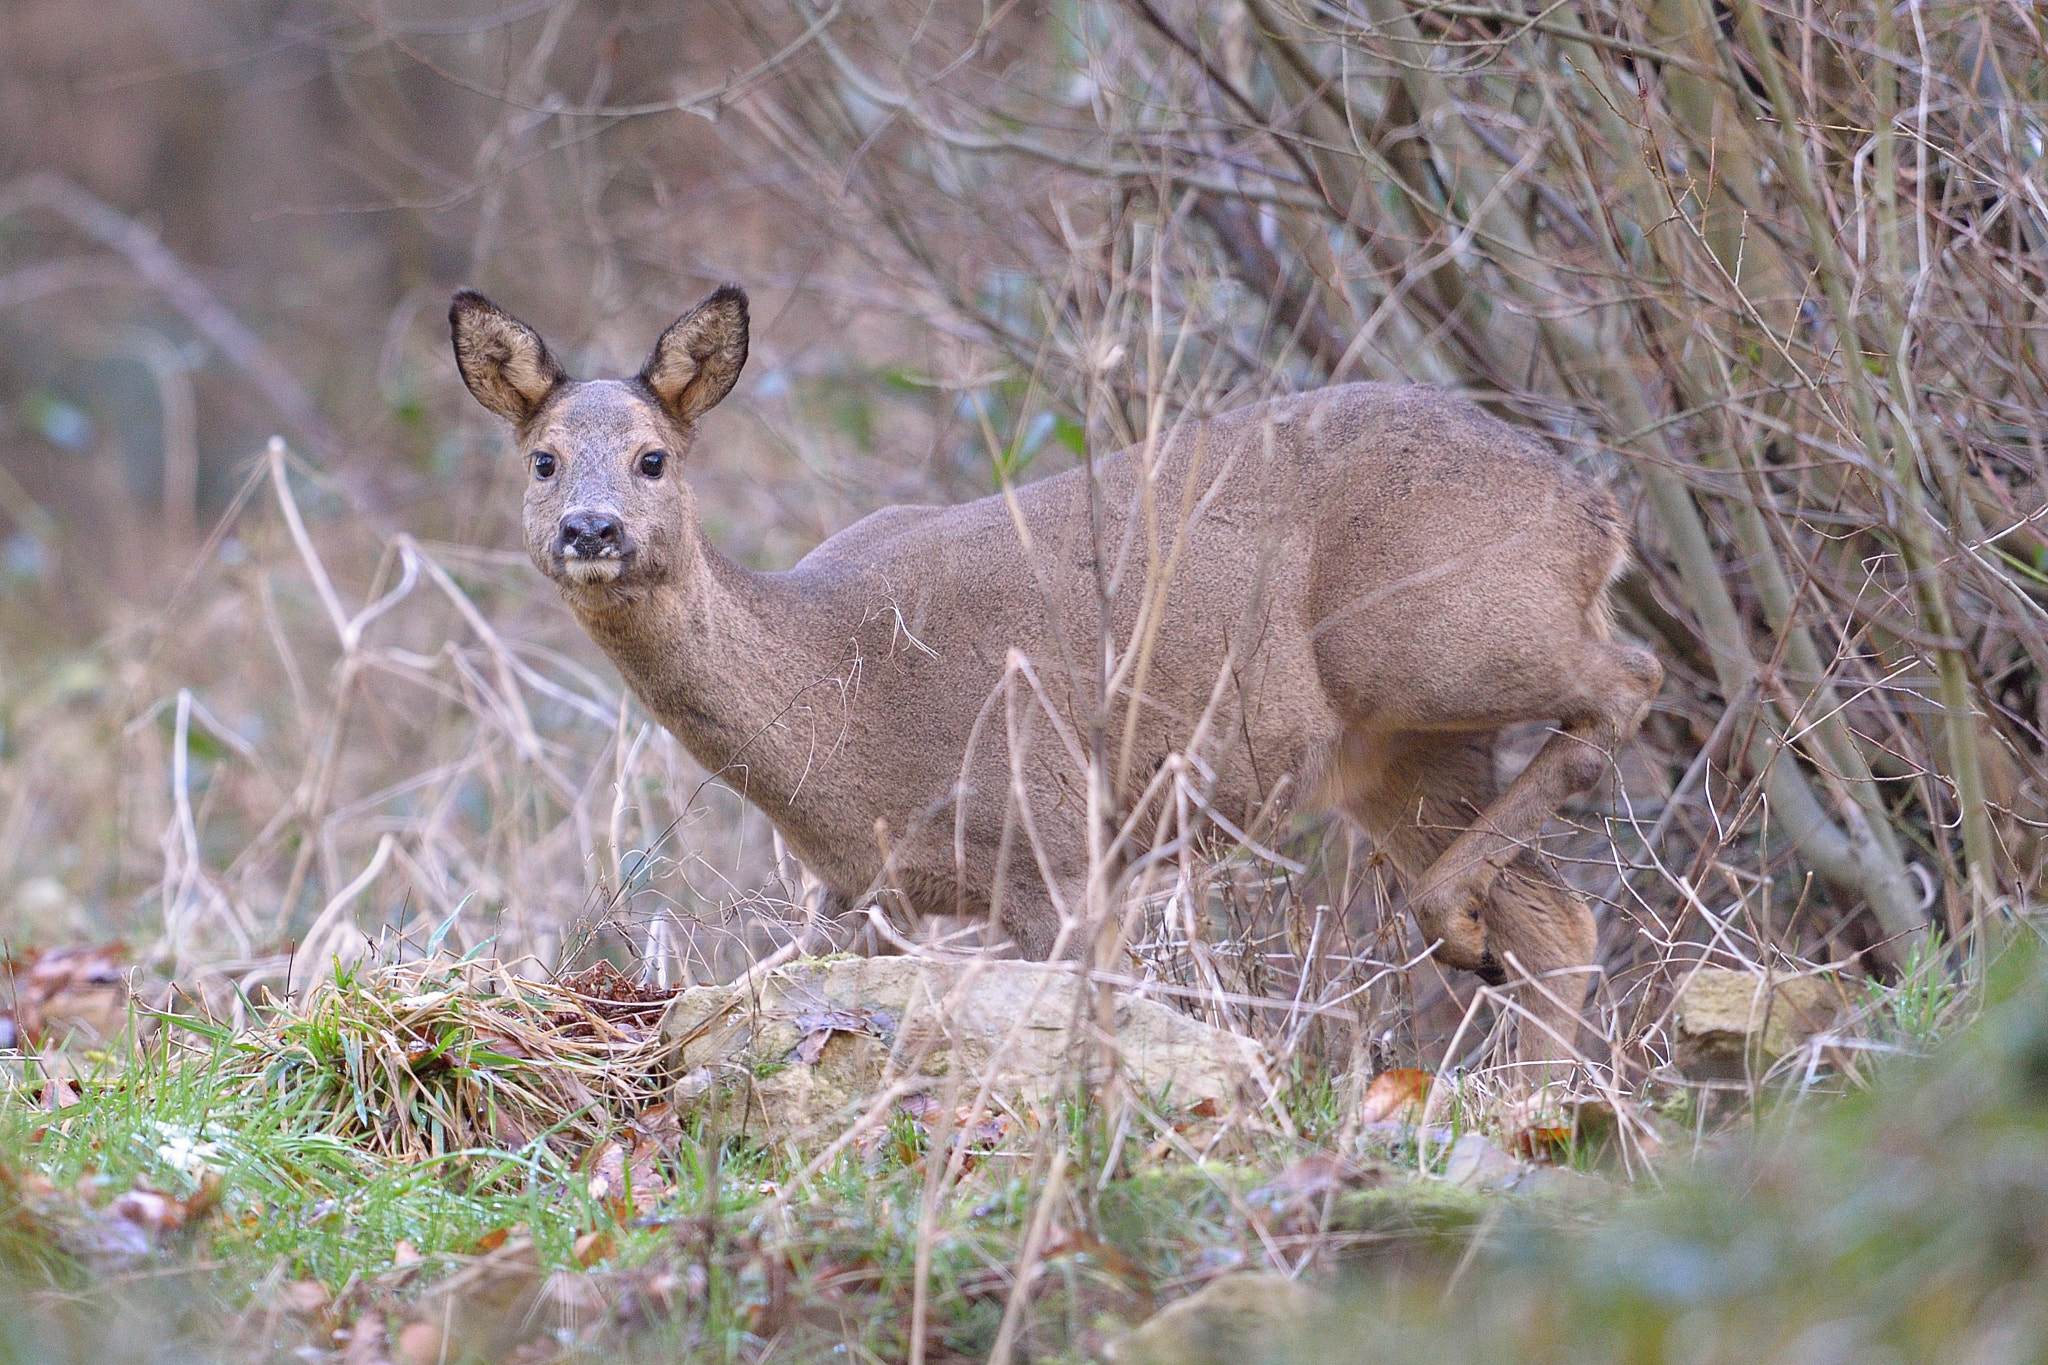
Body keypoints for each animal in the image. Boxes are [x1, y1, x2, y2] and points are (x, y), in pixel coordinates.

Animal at [452, 282, 1662, 1064]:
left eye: (653, 458)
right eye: (542, 460)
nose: (593, 529)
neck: (837, 701)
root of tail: (1593, 510)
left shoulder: (1058, 847)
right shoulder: (854, 897)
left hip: (1439, 635)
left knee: (1629, 678)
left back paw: (1459, 941)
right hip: (1401, 753)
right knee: (1557, 923)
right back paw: (1516, 1090)